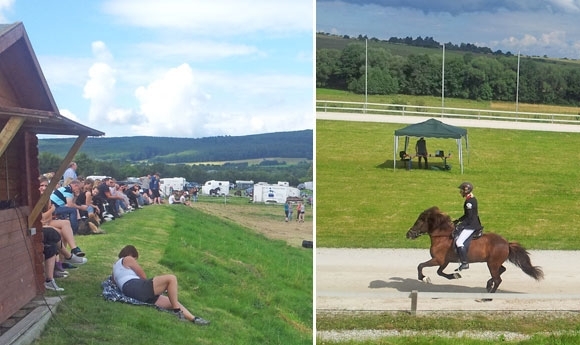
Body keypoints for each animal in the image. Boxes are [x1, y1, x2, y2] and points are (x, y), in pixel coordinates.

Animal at [406, 206, 540, 292]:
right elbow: (439, 272)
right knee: (502, 270)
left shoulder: (438, 259)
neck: (442, 236)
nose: (408, 234)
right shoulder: (444, 261)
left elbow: (420, 266)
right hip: (493, 263)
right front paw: (454, 275)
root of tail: (506, 243)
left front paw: (424, 278)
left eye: (419, 222)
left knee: (498, 279)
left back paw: (489, 295)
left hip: (492, 264)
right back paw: (488, 284)